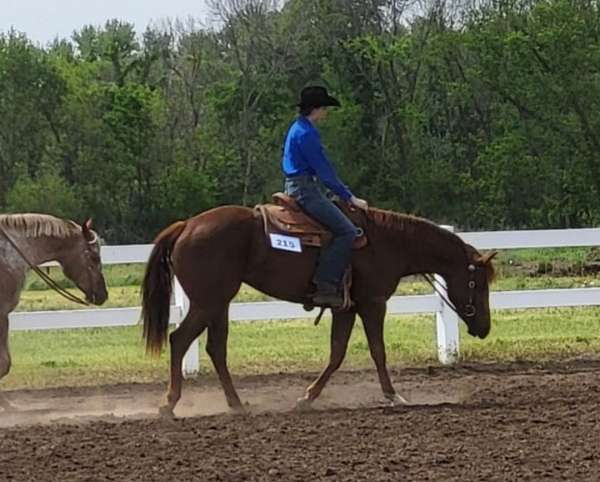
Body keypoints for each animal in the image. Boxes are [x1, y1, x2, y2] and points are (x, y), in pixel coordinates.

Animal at [143, 205, 494, 416]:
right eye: (477, 283)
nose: (485, 329)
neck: (388, 243)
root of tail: (186, 226)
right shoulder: (373, 303)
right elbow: (377, 351)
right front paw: (393, 396)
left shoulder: (346, 308)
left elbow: (337, 353)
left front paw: (307, 398)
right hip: (208, 302)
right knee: (180, 340)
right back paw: (169, 404)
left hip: (218, 304)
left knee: (216, 348)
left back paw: (236, 404)